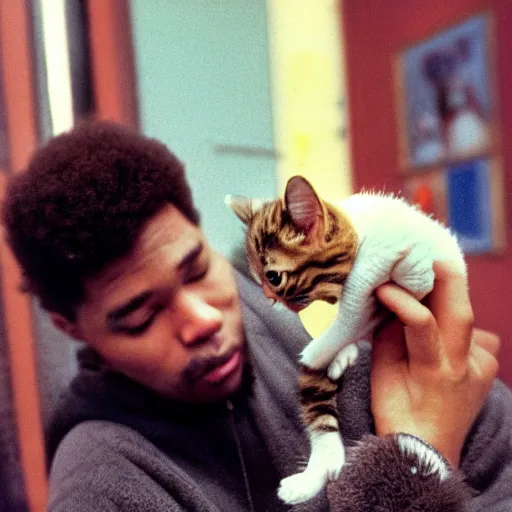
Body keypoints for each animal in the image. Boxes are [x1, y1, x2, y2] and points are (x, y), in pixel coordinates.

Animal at [226, 176, 466, 504]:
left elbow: (362, 300)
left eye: (273, 277)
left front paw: (321, 347)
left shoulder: (401, 267)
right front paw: (328, 349)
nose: (267, 298)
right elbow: (354, 310)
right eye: (257, 278)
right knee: (322, 424)